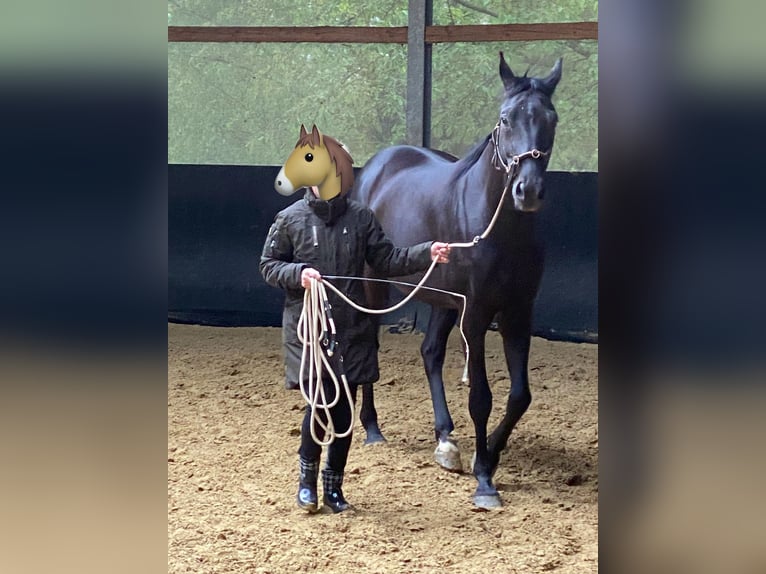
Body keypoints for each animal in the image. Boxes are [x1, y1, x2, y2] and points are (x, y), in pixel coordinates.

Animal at [352, 50, 560, 508]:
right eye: (505, 119)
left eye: (551, 119)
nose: (528, 191)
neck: (498, 228)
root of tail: (377, 166)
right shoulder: (477, 315)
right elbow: (481, 396)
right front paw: (484, 480)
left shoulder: (518, 314)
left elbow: (520, 395)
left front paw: (491, 455)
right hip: (376, 286)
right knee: (370, 345)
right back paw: (372, 428)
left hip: (441, 298)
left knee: (430, 352)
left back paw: (445, 439)